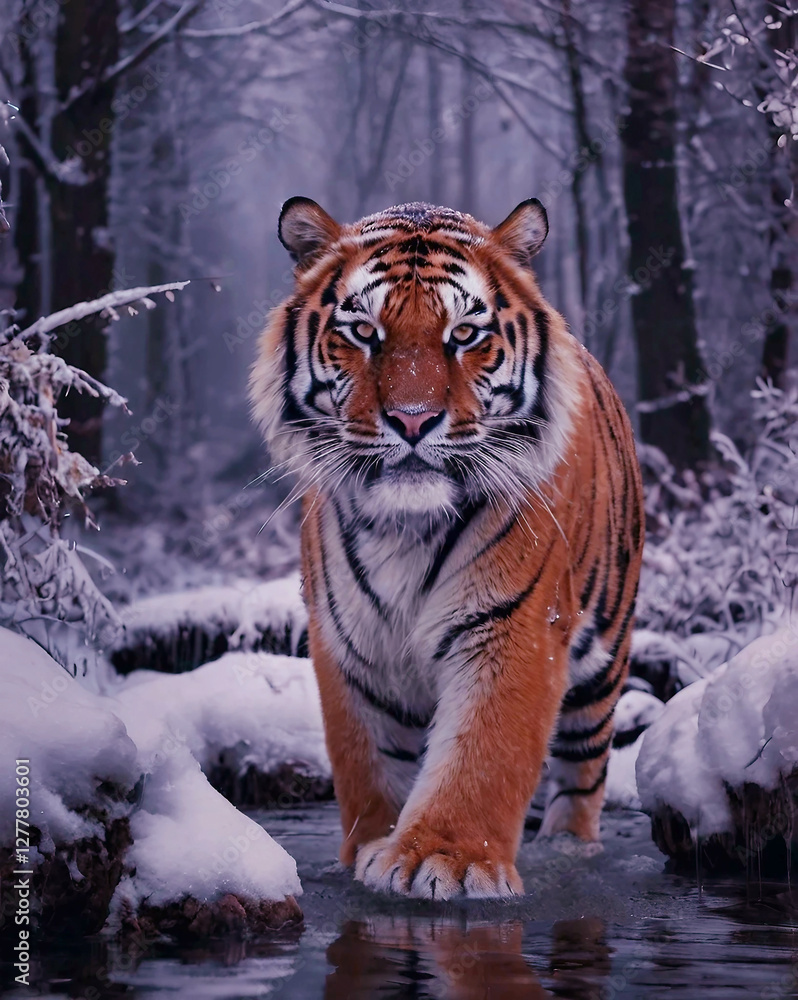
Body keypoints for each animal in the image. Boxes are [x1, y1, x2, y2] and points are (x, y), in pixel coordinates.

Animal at [250, 197, 644, 900]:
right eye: (363, 331)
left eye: (463, 335)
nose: (412, 420)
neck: (405, 528)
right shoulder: (350, 645)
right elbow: (368, 767)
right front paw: (369, 852)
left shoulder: (513, 626)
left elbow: (484, 754)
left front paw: (443, 860)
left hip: (603, 662)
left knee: (582, 775)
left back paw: (570, 849)